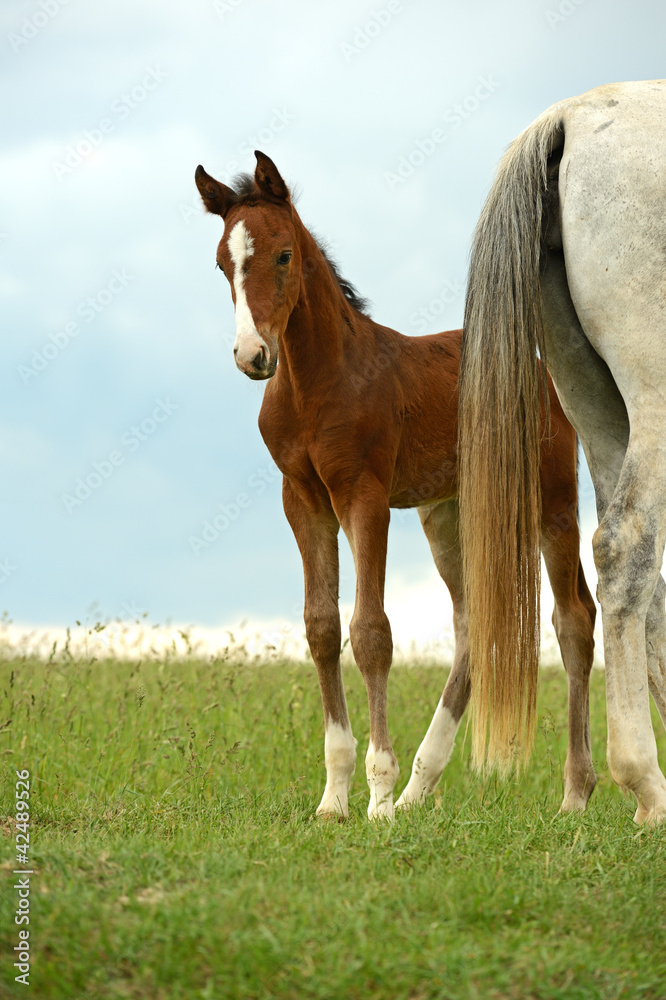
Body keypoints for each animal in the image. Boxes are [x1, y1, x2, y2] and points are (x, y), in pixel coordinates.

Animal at [195, 151, 596, 819]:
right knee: (471, 629)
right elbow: (322, 628)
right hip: (448, 514)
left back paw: (573, 794)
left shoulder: (366, 497)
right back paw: (419, 788)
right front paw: (335, 798)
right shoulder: (303, 501)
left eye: (284, 255)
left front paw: (377, 796)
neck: (317, 382)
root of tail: (533, 366)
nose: (252, 355)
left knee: (575, 621)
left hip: (553, 503)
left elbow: (371, 632)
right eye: (224, 262)